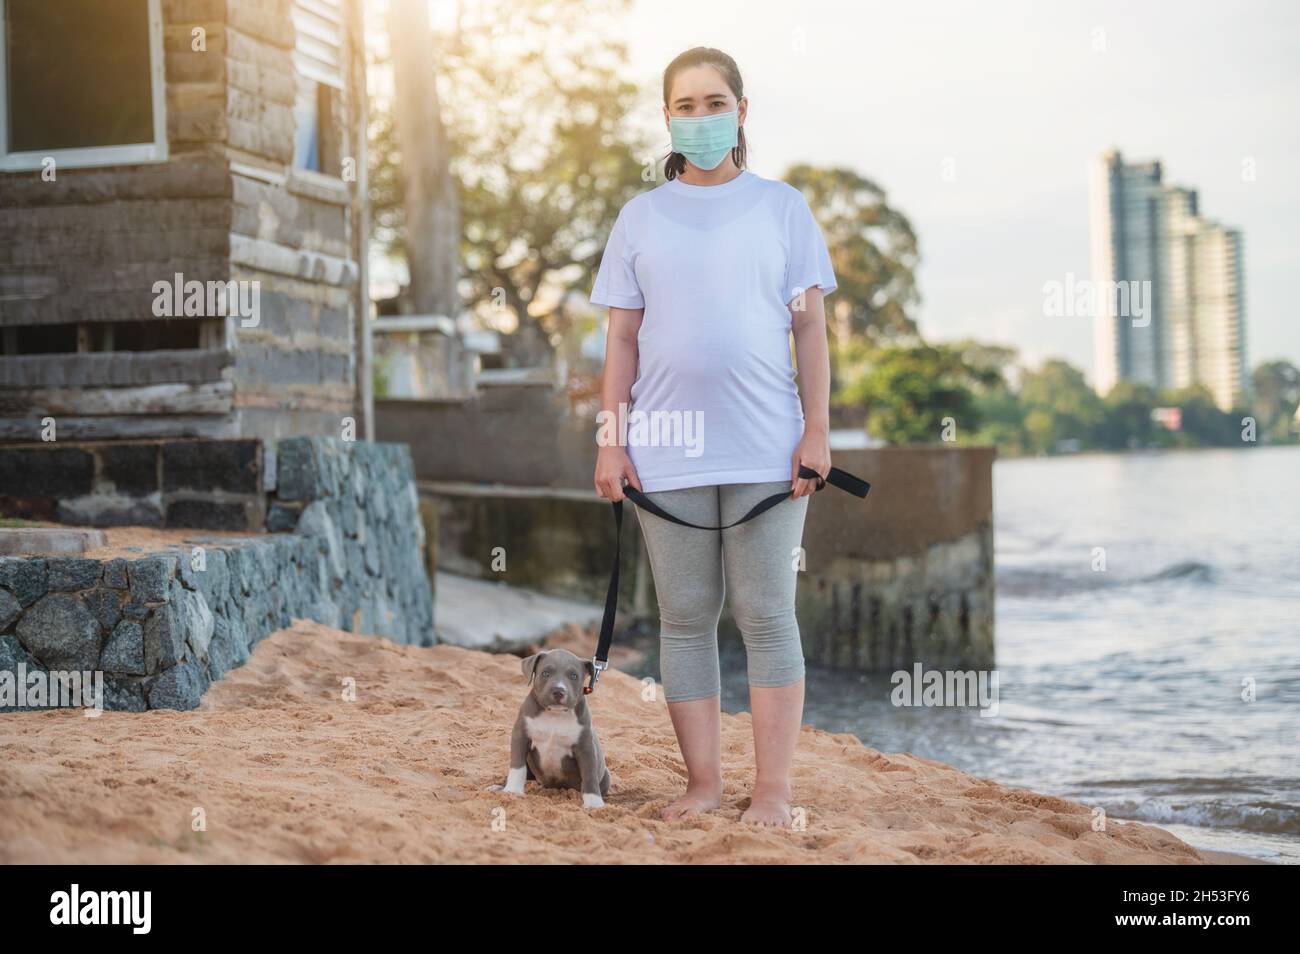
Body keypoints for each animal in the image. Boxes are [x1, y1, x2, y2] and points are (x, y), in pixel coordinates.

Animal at [501, 649, 613, 805]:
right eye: (545, 673)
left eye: (573, 676)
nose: (558, 691)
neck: (555, 715)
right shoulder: (521, 736)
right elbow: (517, 766)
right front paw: (512, 790)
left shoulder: (586, 748)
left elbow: (589, 775)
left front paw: (594, 803)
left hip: (606, 776)